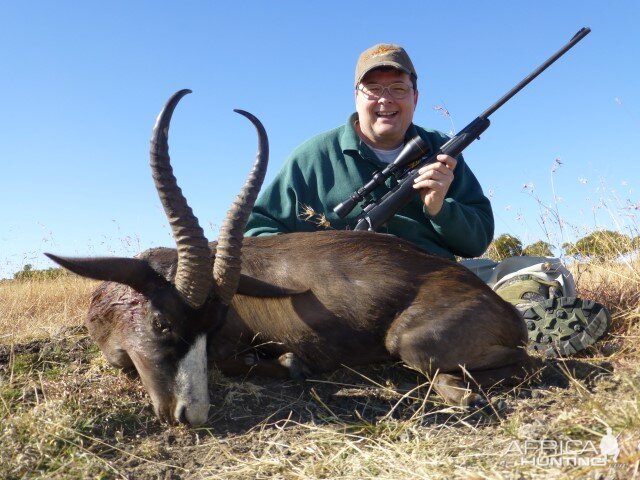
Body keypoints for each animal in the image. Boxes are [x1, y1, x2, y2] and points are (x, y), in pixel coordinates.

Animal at [47, 90, 532, 428]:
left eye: (209, 325)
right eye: (163, 323)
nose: (191, 414)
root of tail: (509, 312)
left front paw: (289, 363)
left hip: (411, 345)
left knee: (527, 364)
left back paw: (466, 394)